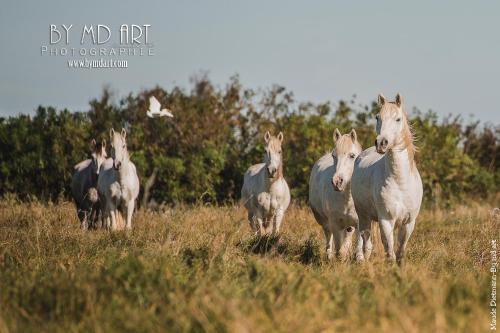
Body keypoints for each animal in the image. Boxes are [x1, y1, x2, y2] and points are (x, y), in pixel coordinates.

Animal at [308, 127, 360, 260]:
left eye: (352, 156)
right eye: (334, 156)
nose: (337, 182)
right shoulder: (335, 224)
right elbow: (339, 250)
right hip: (324, 221)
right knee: (328, 235)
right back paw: (329, 256)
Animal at [352, 92, 422, 262]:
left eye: (398, 119)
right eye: (378, 117)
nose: (381, 143)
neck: (401, 182)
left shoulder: (409, 222)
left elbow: (400, 250)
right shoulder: (386, 220)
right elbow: (389, 251)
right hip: (363, 215)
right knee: (364, 238)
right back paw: (362, 259)